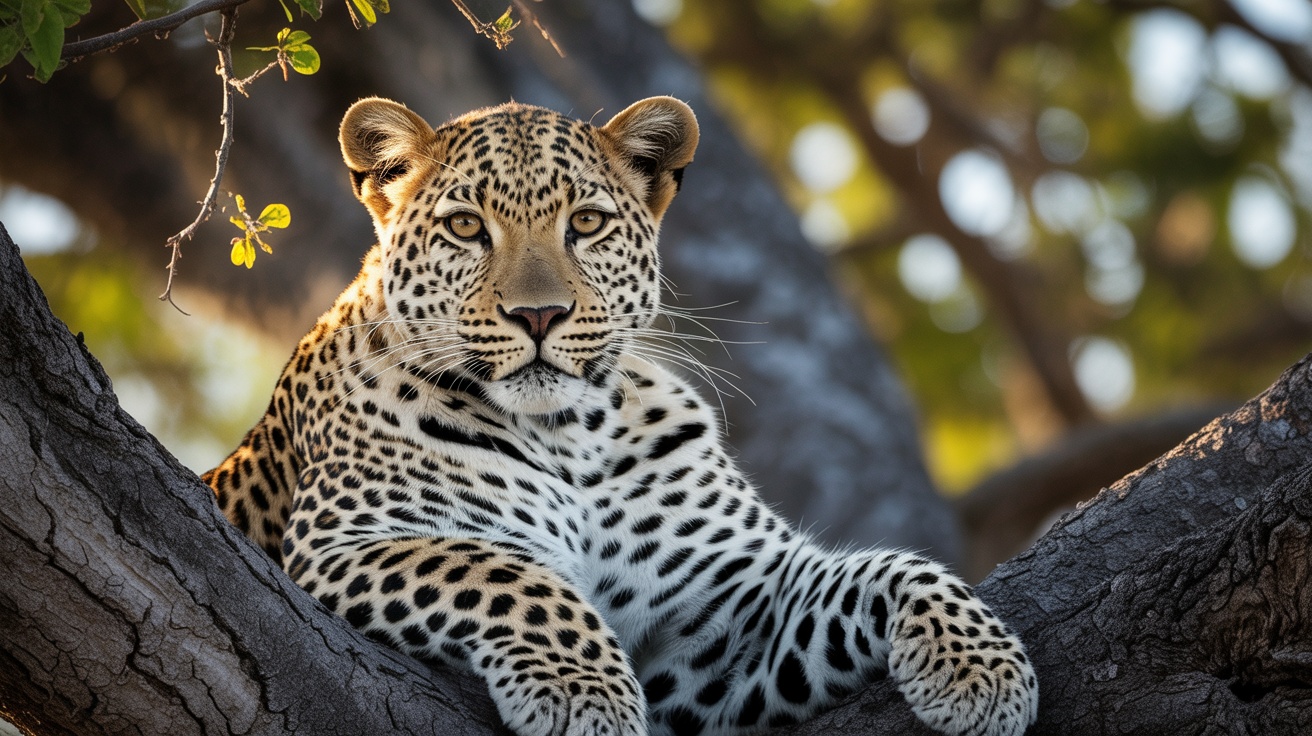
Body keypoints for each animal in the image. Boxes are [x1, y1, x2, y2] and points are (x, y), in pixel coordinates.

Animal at [205, 95, 1038, 736]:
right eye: (467, 228)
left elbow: (888, 567)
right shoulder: (342, 544)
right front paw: (585, 695)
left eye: (587, 224)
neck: (567, 436)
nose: (539, 315)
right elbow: (506, 572)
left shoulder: (720, 634)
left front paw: (983, 671)